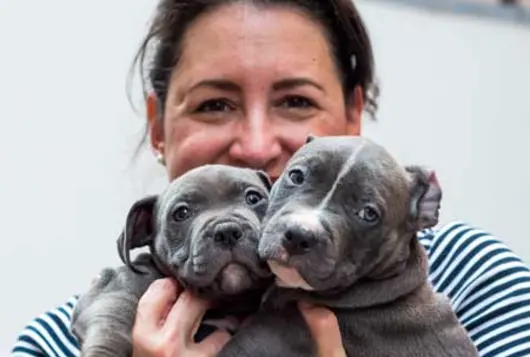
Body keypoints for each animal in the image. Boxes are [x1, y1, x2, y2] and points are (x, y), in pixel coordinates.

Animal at [70, 164, 272, 356]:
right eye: (181, 213)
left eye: (253, 198)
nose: (227, 230)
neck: (229, 303)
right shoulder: (111, 288)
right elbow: (112, 319)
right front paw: (102, 351)